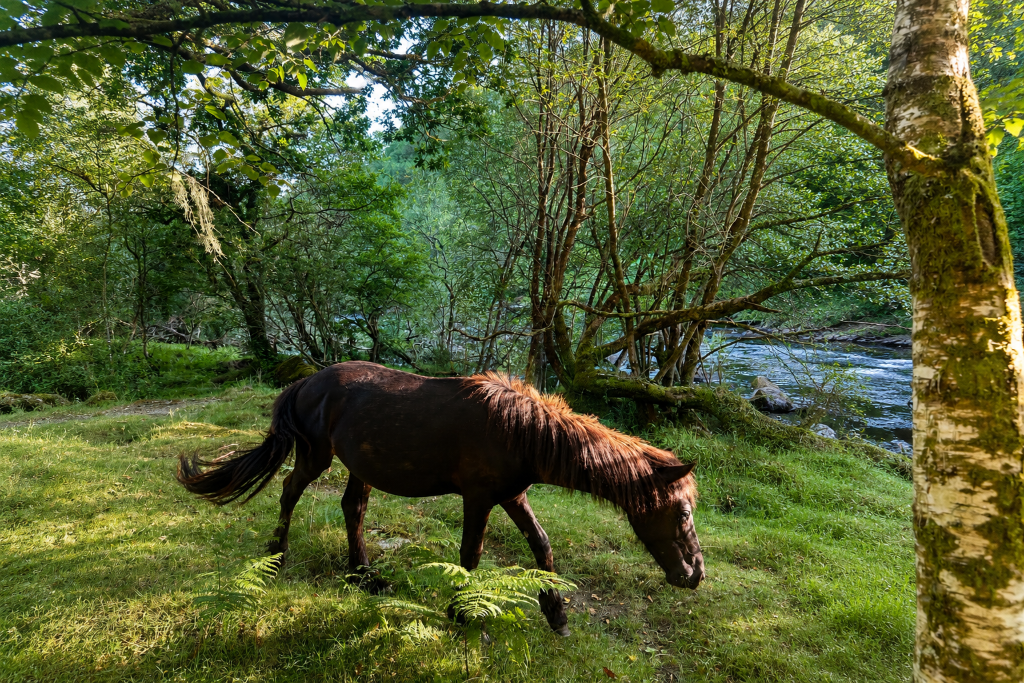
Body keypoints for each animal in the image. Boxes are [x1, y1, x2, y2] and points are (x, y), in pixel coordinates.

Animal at [177, 361, 704, 635]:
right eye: (681, 511)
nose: (694, 575)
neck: (520, 432)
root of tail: (307, 381)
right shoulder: (480, 498)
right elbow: (470, 555)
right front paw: (463, 614)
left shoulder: (512, 495)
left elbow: (542, 546)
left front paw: (556, 613)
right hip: (316, 457)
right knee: (289, 492)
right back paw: (277, 556)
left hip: (359, 467)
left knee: (353, 509)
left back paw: (364, 576)